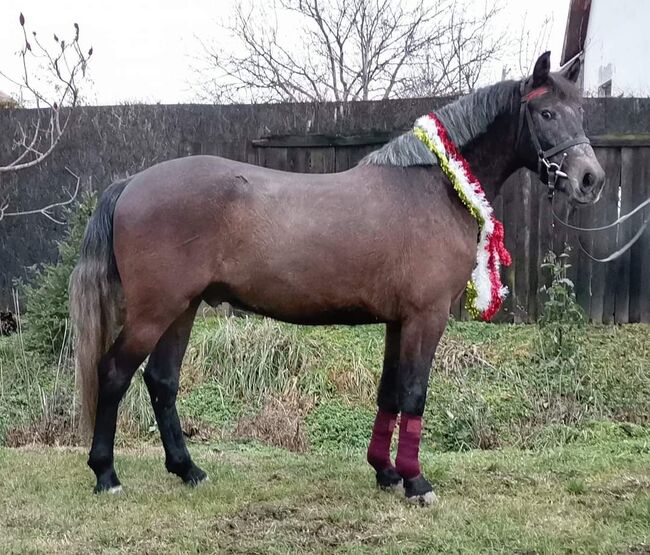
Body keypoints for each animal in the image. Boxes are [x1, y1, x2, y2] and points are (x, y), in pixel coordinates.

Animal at [69, 51, 604, 504]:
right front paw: (416, 482)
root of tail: (131, 183)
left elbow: (390, 391)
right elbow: (414, 392)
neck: (433, 186)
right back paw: (107, 474)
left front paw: (386, 473)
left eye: (580, 111)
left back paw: (188, 470)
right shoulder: (426, 317)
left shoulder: (398, 322)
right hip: (154, 312)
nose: (590, 179)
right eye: (546, 113)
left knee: (161, 381)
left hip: (182, 309)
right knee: (114, 374)